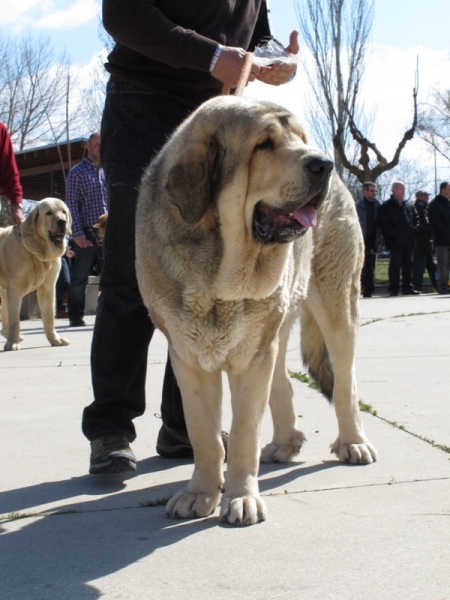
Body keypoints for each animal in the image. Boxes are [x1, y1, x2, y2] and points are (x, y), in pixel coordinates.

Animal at [0, 199, 71, 350]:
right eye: (49, 213)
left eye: (63, 212)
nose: (62, 221)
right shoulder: (14, 289)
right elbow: (15, 319)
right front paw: (13, 342)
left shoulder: (48, 288)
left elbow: (49, 317)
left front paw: (55, 339)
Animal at [136, 95, 376, 524]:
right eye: (264, 145)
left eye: (300, 138)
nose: (323, 164)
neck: (219, 275)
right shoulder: (189, 361)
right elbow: (206, 436)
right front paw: (200, 493)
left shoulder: (251, 359)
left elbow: (244, 433)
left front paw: (240, 498)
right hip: (273, 331)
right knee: (283, 384)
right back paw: (285, 443)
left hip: (337, 309)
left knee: (345, 383)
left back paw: (353, 442)